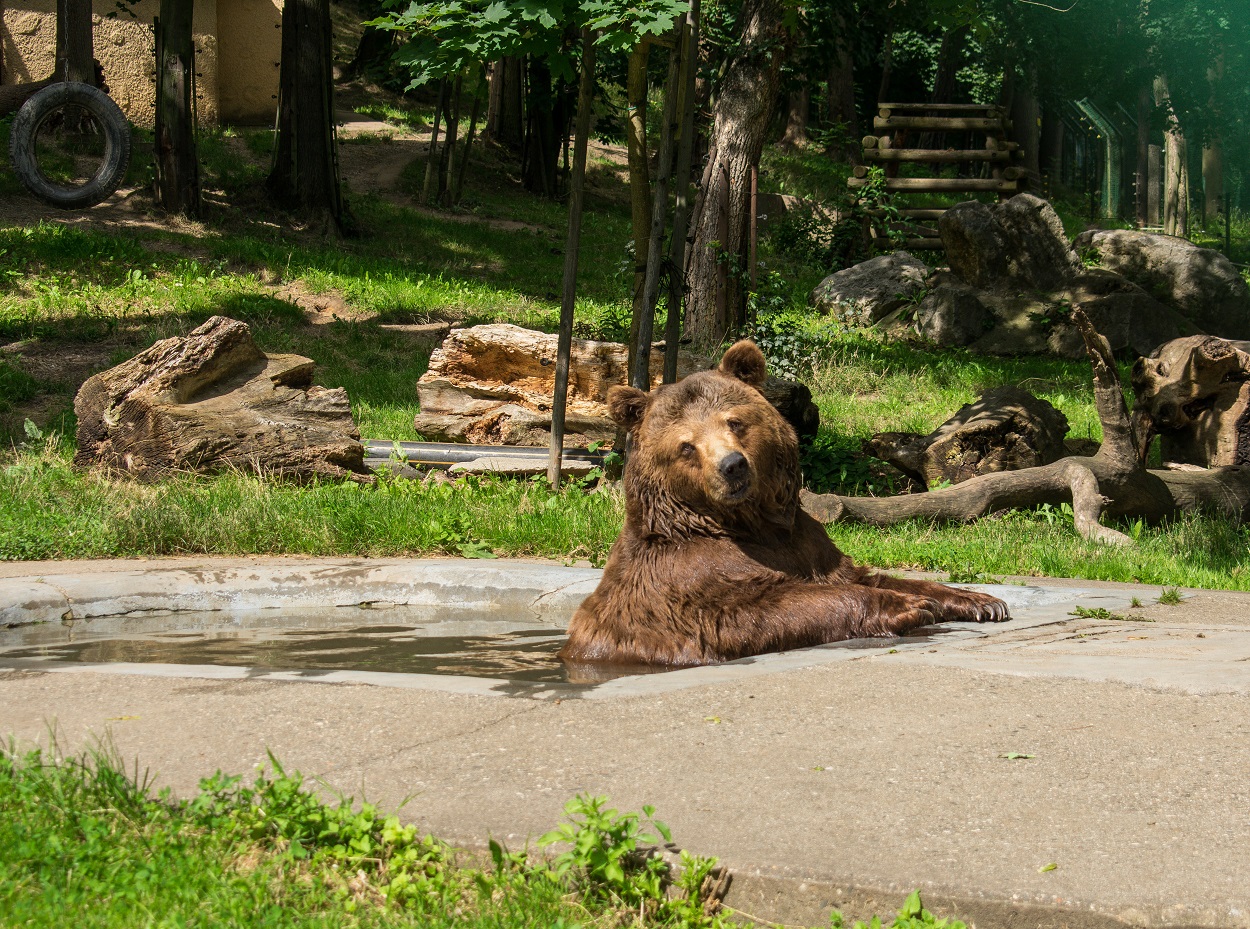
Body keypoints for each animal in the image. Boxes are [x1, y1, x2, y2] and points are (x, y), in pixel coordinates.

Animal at [562, 342, 1010, 670]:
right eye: (686, 446)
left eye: (734, 421)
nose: (732, 465)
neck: (749, 523)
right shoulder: (687, 581)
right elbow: (771, 604)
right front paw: (910, 606)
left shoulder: (808, 545)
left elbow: (861, 574)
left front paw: (980, 601)